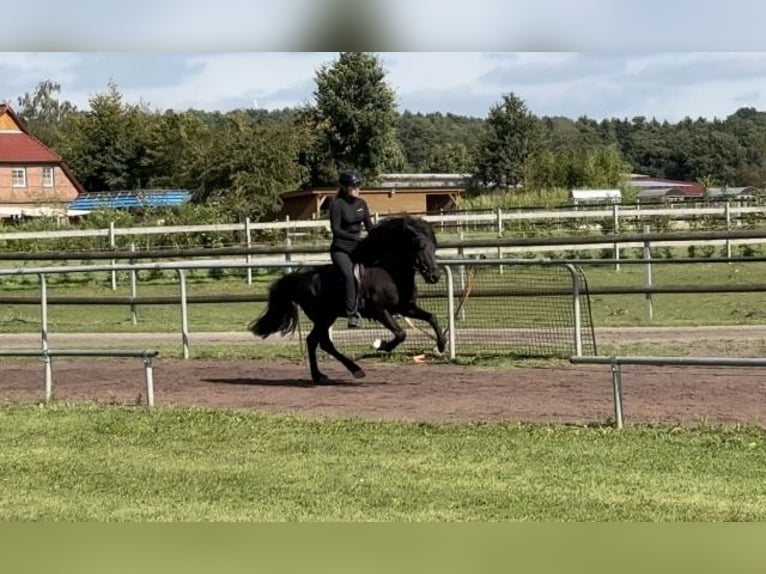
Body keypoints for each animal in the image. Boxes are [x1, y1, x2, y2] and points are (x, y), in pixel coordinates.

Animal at [248, 215, 446, 383]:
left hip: (327, 318)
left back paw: (321, 375)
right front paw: (382, 346)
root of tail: (302, 278)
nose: (434, 276)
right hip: (323, 317)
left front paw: (442, 346)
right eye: (420, 245)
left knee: (314, 342)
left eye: (434, 245)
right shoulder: (380, 311)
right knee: (321, 342)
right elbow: (401, 333)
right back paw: (353, 370)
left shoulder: (405, 308)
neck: (388, 270)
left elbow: (432, 317)